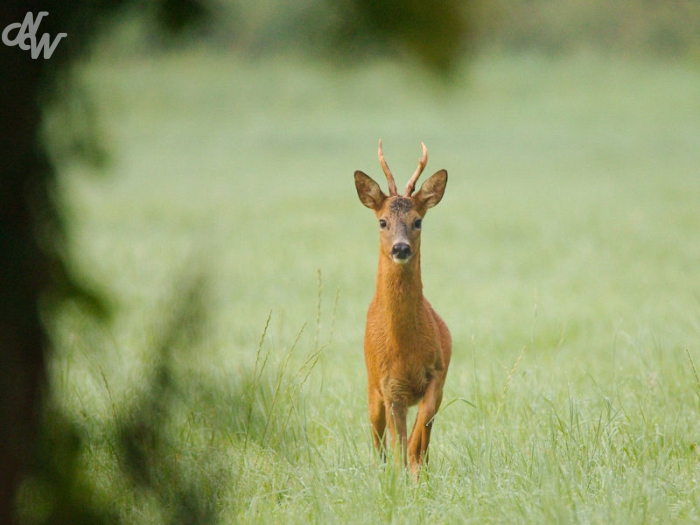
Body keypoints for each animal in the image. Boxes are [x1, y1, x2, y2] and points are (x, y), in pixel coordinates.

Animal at [352, 139, 452, 474]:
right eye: (383, 221)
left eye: (417, 221)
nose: (400, 248)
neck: (404, 350)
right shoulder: (389, 388)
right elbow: (398, 444)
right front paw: (403, 474)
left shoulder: (437, 373)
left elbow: (419, 434)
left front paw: (417, 471)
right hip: (372, 389)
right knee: (379, 441)